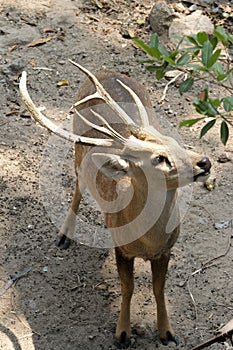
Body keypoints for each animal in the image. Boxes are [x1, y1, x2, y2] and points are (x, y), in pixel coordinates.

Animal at [19, 60, 210, 348]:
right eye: (159, 158)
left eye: (176, 143)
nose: (205, 162)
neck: (147, 240)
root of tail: (102, 72)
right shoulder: (122, 249)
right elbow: (128, 288)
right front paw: (122, 334)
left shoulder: (166, 250)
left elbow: (158, 289)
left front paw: (167, 332)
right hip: (78, 154)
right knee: (77, 188)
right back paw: (64, 236)